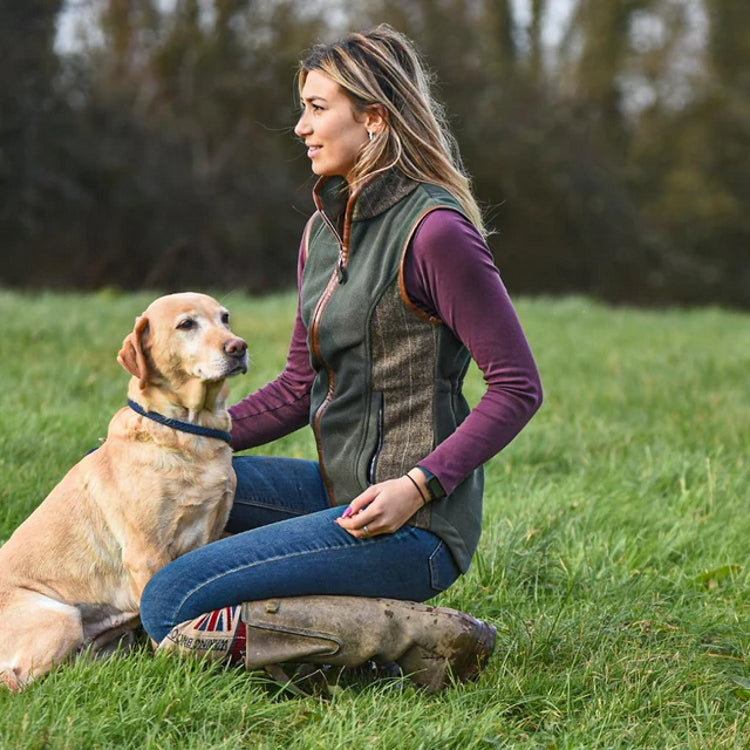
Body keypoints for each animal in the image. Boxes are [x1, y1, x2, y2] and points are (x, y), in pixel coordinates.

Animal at [0, 290, 250, 692]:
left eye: (225, 318)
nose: (238, 347)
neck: (188, 431)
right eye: (186, 324)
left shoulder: (208, 535)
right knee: (18, 682)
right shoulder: (146, 554)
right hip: (60, 618)